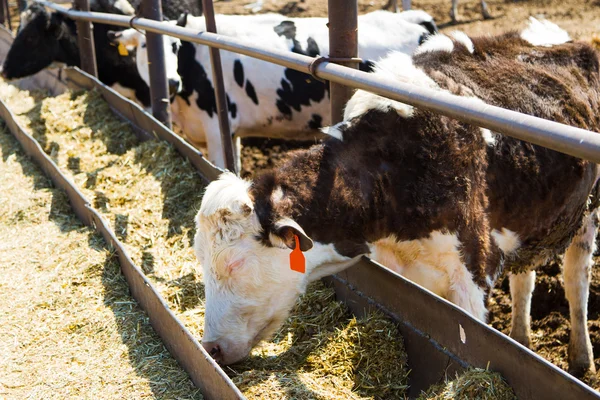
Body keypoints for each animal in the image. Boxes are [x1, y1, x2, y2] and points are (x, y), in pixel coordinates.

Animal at [195, 17, 600, 378]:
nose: (210, 347)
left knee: (576, 278)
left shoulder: (472, 271)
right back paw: (521, 337)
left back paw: (581, 359)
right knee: (524, 278)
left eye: (235, 264)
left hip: (588, 213)